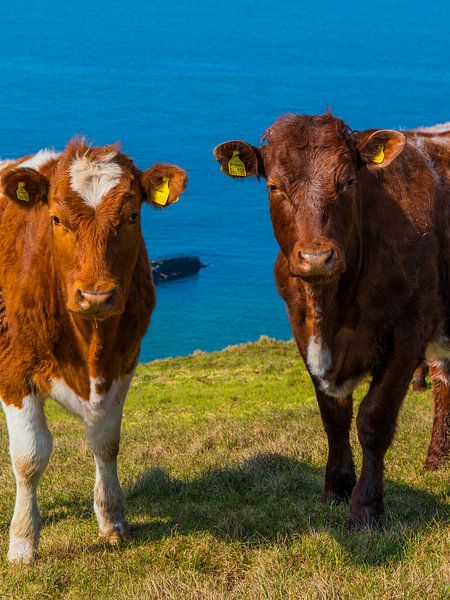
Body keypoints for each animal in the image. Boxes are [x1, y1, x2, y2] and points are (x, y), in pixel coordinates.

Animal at [0, 141, 186, 564]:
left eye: (133, 215)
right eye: (55, 218)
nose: (96, 296)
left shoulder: (123, 362)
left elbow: (106, 441)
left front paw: (112, 520)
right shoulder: (13, 370)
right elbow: (29, 456)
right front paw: (22, 541)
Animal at [214, 115, 450, 528]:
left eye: (348, 182)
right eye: (274, 186)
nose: (316, 258)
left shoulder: (410, 330)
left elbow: (374, 419)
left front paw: (366, 507)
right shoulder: (301, 328)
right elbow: (334, 415)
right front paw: (337, 487)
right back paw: (438, 458)